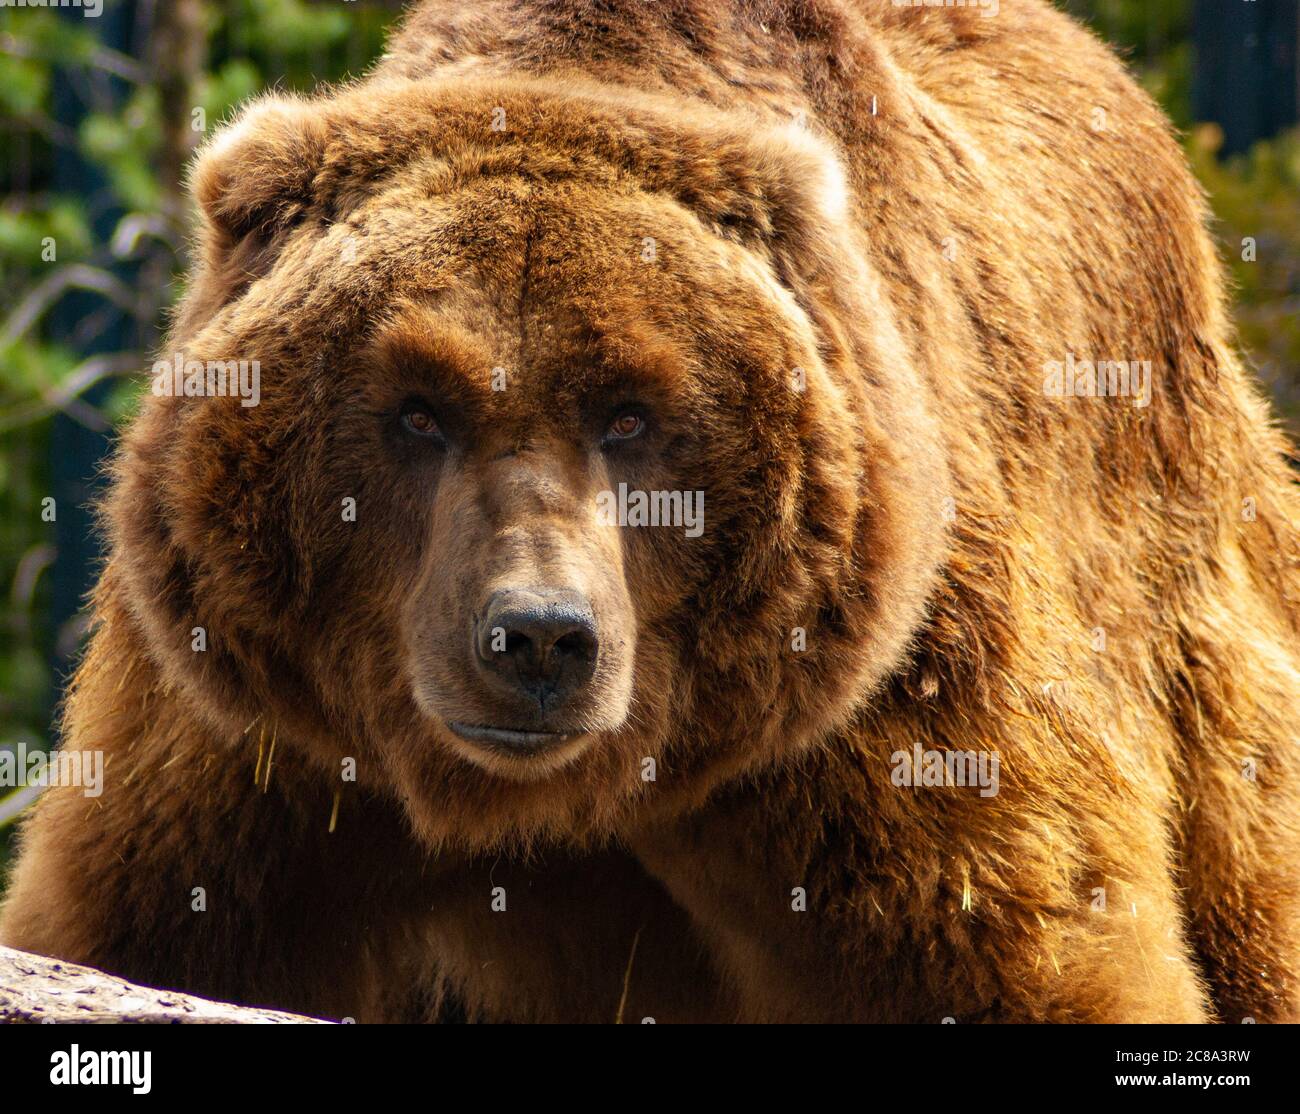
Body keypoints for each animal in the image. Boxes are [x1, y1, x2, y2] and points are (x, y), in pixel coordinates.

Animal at [2, 0, 1300, 1019]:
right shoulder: (251, 744)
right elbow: (143, 930)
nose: (537, 637)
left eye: (631, 412)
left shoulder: (892, 713)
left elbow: (1027, 955)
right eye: (417, 408)